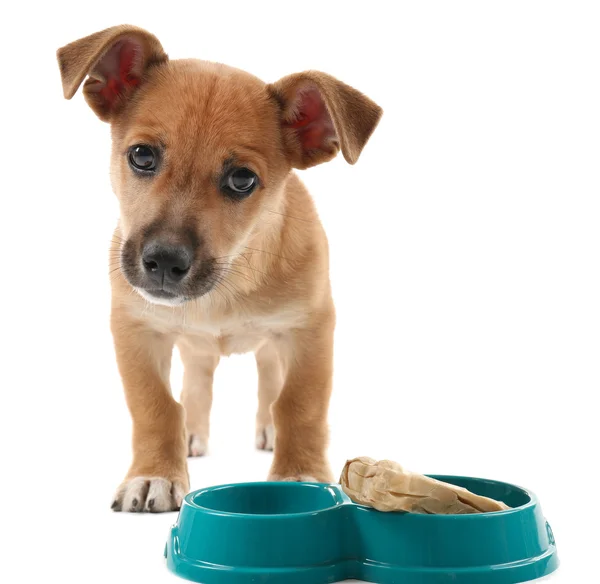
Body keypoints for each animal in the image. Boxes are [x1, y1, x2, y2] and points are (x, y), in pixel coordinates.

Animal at [58, 25, 382, 512]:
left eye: (242, 179)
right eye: (141, 156)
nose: (164, 262)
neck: (229, 280)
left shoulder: (309, 329)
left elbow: (299, 402)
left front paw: (300, 472)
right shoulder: (136, 329)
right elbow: (155, 404)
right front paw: (155, 473)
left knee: (269, 380)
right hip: (193, 348)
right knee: (195, 385)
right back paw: (191, 434)